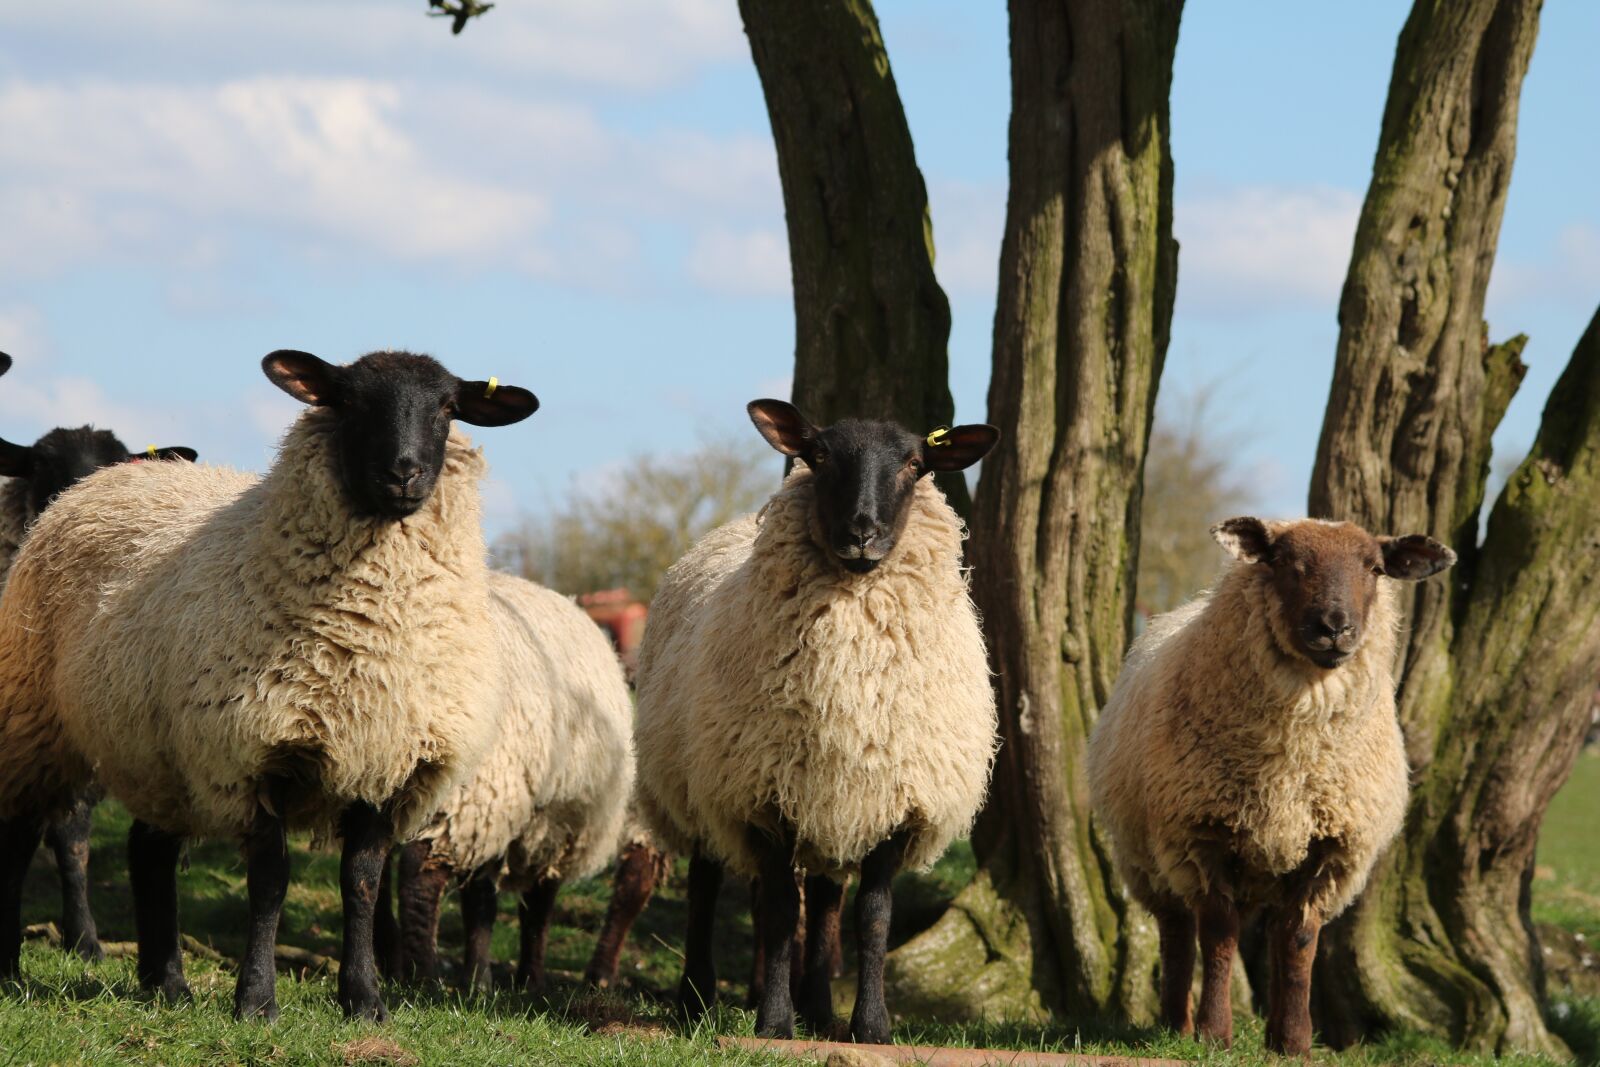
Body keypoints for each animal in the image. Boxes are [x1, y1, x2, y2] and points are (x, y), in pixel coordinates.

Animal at [0, 347, 540, 1023]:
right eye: (347, 401)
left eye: (448, 407)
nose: (404, 473)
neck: (375, 641)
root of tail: (91, 488)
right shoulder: (254, 753)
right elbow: (271, 880)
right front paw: (256, 999)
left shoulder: (386, 761)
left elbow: (362, 882)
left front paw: (364, 998)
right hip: (37, 726)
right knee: (21, 839)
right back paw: (12, 969)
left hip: (159, 751)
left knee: (148, 850)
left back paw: (166, 982)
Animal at [630, 399, 992, 1043]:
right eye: (819, 455)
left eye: (915, 463)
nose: (862, 533)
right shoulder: (761, 795)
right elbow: (777, 911)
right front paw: (775, 1022)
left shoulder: (895, 801)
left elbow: (872, 919)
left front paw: (870, 1026)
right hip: (700, 786)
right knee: (705, 885)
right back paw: (696, 998)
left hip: (835, 799)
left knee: (825, 898)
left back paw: (820, 1008)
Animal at [1088, 511, 1465, 1055]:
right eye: (1286, 562)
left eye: (1374, 568)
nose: (1335, 627)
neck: (1294, 761)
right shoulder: (1203, 835)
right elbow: (1218, 935)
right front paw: (1215, 1034)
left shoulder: (1328, 848)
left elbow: (1299, 940)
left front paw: (1294, 1042)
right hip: (1152, 861)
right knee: (1177, 933)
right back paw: (1176, 1025)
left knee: (1270, 935)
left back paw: (1266, 1033)